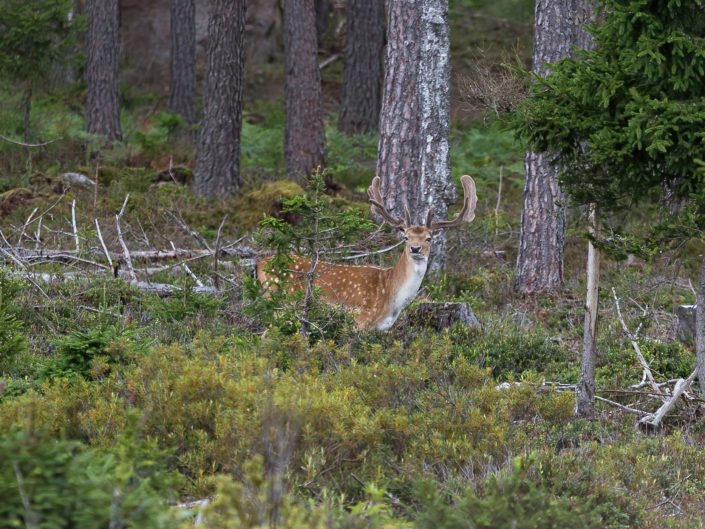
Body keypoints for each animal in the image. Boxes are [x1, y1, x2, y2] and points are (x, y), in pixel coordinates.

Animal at [256, 175, 478, 330]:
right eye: (406, 237)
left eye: (429, 238)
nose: (415, 248)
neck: (391, 298)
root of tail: (259, 265)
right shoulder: (361, 319)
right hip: (283, 303)